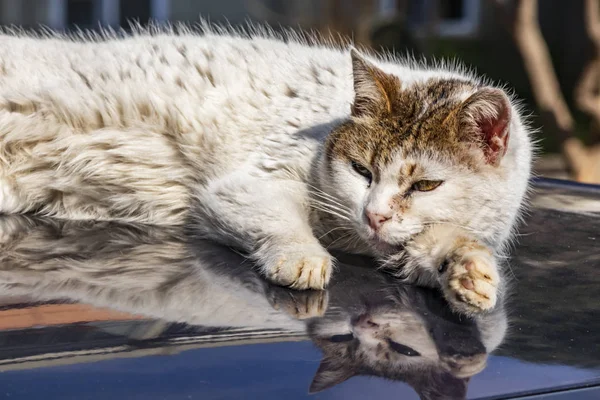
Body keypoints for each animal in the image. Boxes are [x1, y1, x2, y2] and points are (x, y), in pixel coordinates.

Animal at [0, 22, 536, 316]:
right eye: (361, 171)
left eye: (425, 184)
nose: (375, 215)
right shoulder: (242, 187)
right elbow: (282, 223)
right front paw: (303, 258)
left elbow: (441, 246)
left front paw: (472, 274)